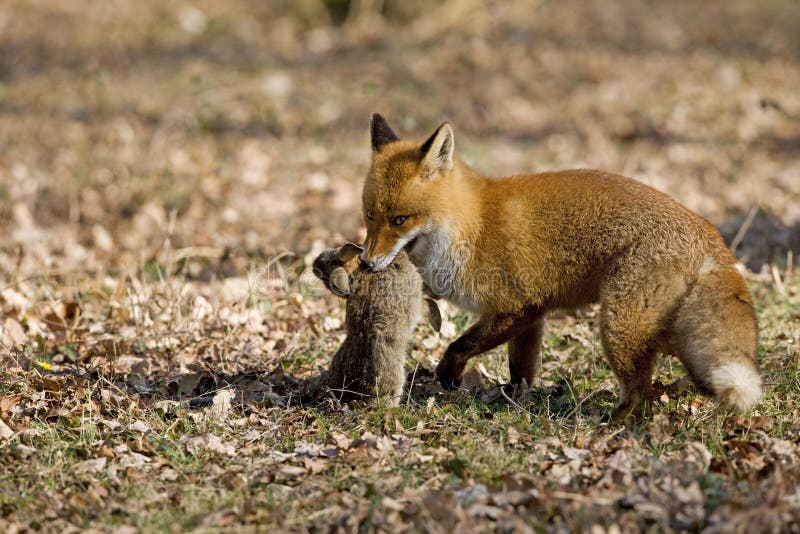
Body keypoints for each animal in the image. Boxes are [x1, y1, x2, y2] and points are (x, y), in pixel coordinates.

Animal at [359, 113, 762, 422]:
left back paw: (615, 424)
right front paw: (513, 400)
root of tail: (710, 234)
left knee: (639, 395)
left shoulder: (513, 306)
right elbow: (521, 371)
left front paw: (450, 375)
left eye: (400, 220)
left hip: (618, 326)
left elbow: (461, 345)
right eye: (370, 216)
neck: (471, 225)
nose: (365, 262)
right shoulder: (531, 315)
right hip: (665, 333)